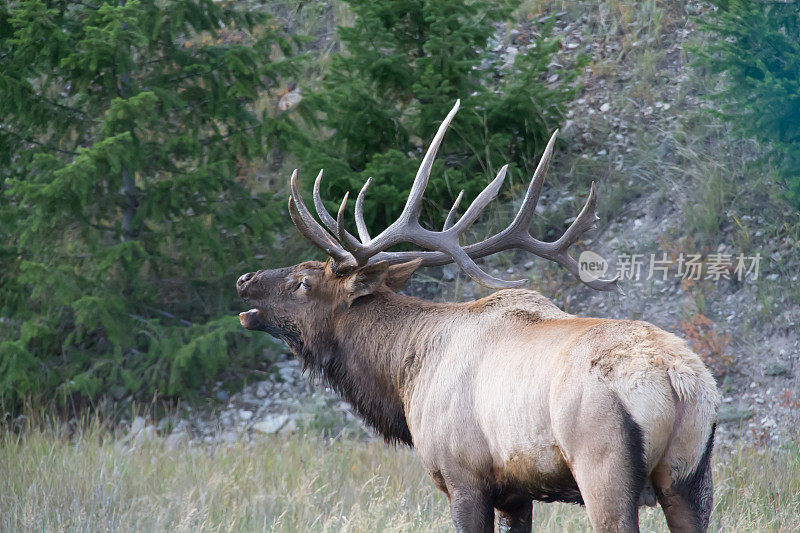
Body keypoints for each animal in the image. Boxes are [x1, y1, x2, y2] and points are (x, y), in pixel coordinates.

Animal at [236, 101, 720, 532]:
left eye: (304, 282)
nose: (245, 279)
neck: (404, 376)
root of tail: (681, 381)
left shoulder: (463, 476)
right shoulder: (516, 493)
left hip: (603, 467)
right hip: (692, 480)